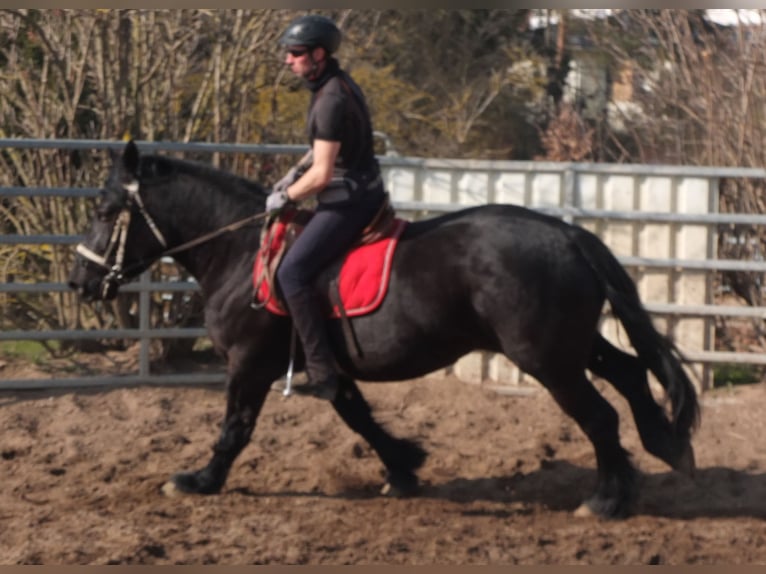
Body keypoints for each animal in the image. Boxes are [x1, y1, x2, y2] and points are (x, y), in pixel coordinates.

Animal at [69, 142, 700, 520]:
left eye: (103, 212)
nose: (80, 281)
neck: (240, 250)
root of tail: (568, 234)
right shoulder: (325, 363)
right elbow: (357, 415)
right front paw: (403, 467)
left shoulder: (249, 363)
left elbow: (235, 428)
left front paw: (200, 480)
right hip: (571, 345)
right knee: (631, 374)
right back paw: (664, 449)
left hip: (546, 357)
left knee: (601, 414)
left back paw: (608, 498)